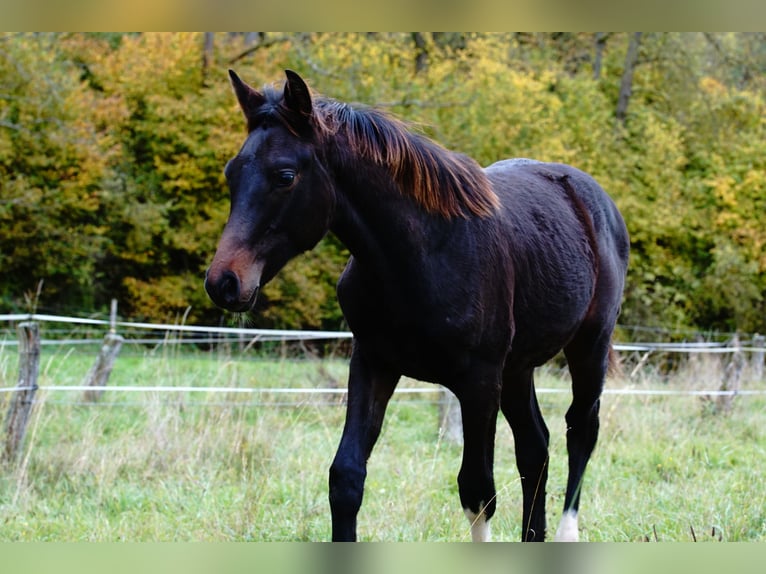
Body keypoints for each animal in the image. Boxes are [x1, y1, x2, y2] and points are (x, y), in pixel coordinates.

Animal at [205, 69, 630, 542]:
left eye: (285, 175)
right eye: (230, 173)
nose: (224, 282)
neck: (421, 254)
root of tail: (598, 203)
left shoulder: (479, 381)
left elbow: (477, 491)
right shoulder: (373, 363)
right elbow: (346, 477)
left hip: (588, 346)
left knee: (581, 429)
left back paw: (566, 532)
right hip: (518, 368)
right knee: (535, 447)